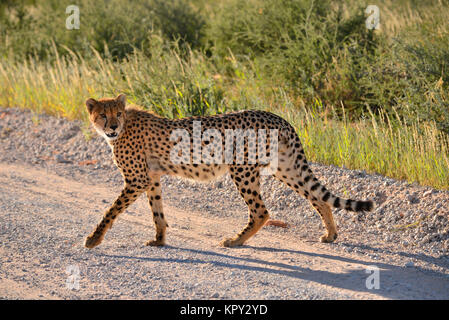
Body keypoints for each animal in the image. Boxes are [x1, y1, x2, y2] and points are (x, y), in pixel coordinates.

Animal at [82, 94, 372, 249]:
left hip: (242, 169)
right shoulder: (151, 178)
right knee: (319, 198)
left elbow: (111, 211)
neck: (123, 128)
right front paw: (160, 240)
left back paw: (236, 241)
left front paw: (94, 239)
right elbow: (157, 212)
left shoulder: (137, 179)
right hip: (285, 167)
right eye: (103, 115)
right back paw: (331, 234)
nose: (112, 127)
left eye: (117, 114)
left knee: (261, 211)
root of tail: (277, 116)